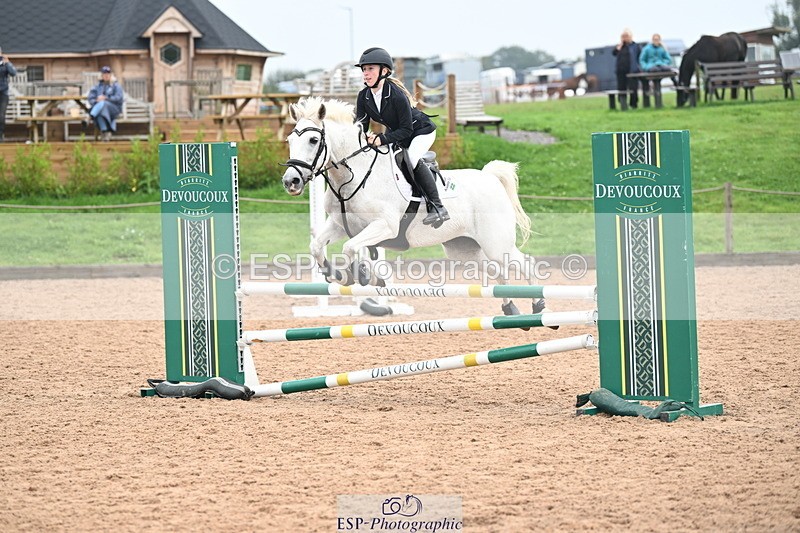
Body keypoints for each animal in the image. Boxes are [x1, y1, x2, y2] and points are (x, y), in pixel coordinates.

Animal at [280, 96, 548, 318]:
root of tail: (490, 177)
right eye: (290, 140)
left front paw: (363, 276)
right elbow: (317, 246)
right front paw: (335, 274)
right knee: (497, 271)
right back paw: (510, 307)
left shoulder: (384, 226)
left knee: (524, 264)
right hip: (464, 248)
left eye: (314, 140)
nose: (290, 181)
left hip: (496, 243)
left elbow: (350, 247)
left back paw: (538, 305)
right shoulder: (340, 224)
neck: (354, 176)